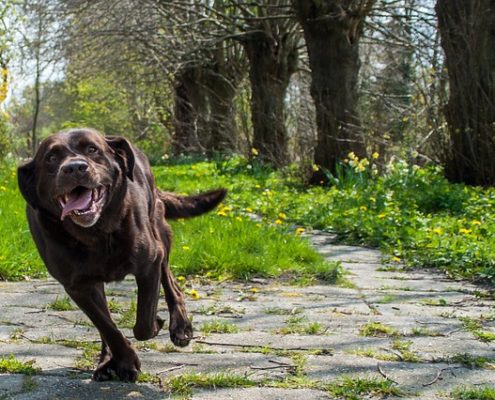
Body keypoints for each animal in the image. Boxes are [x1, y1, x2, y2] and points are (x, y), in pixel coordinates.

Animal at [17, 128, 227, 382]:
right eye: (51, 157)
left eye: (92, 149)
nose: (75, 168)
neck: (95, 234)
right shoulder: (77, 286)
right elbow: (106, 326)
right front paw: (124, 361)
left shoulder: (149, 264)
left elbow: (143, 323)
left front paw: (155, 325)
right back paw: (107, 362)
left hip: (160, 233)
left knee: (171, 283)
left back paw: (181, 327)